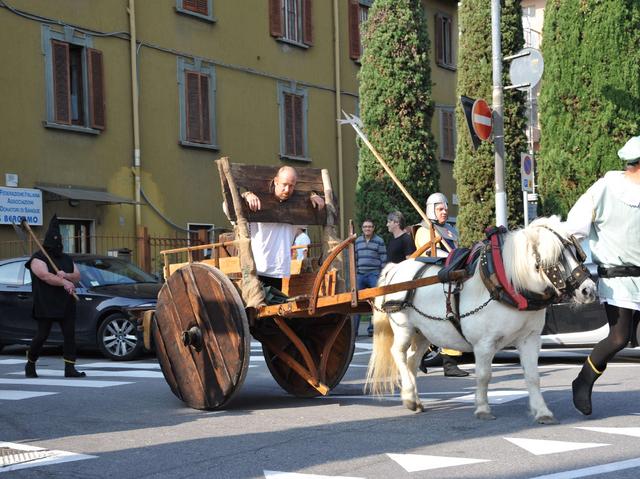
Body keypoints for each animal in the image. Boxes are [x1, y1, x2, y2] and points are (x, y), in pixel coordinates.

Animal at [368, 217, 596, 424]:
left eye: (576, 252)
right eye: (556, 256)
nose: (589, 290)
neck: (507, 284)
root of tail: (395, 268)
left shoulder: (530, 339)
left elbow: (533, 376)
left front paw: (542, 412)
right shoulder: (484, 344)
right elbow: (484, 375)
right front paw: (483, 408)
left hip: (424, 333)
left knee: (412, 360)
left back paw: (414, 399)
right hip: (404, 327)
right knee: (398, 353)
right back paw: (408, 395)